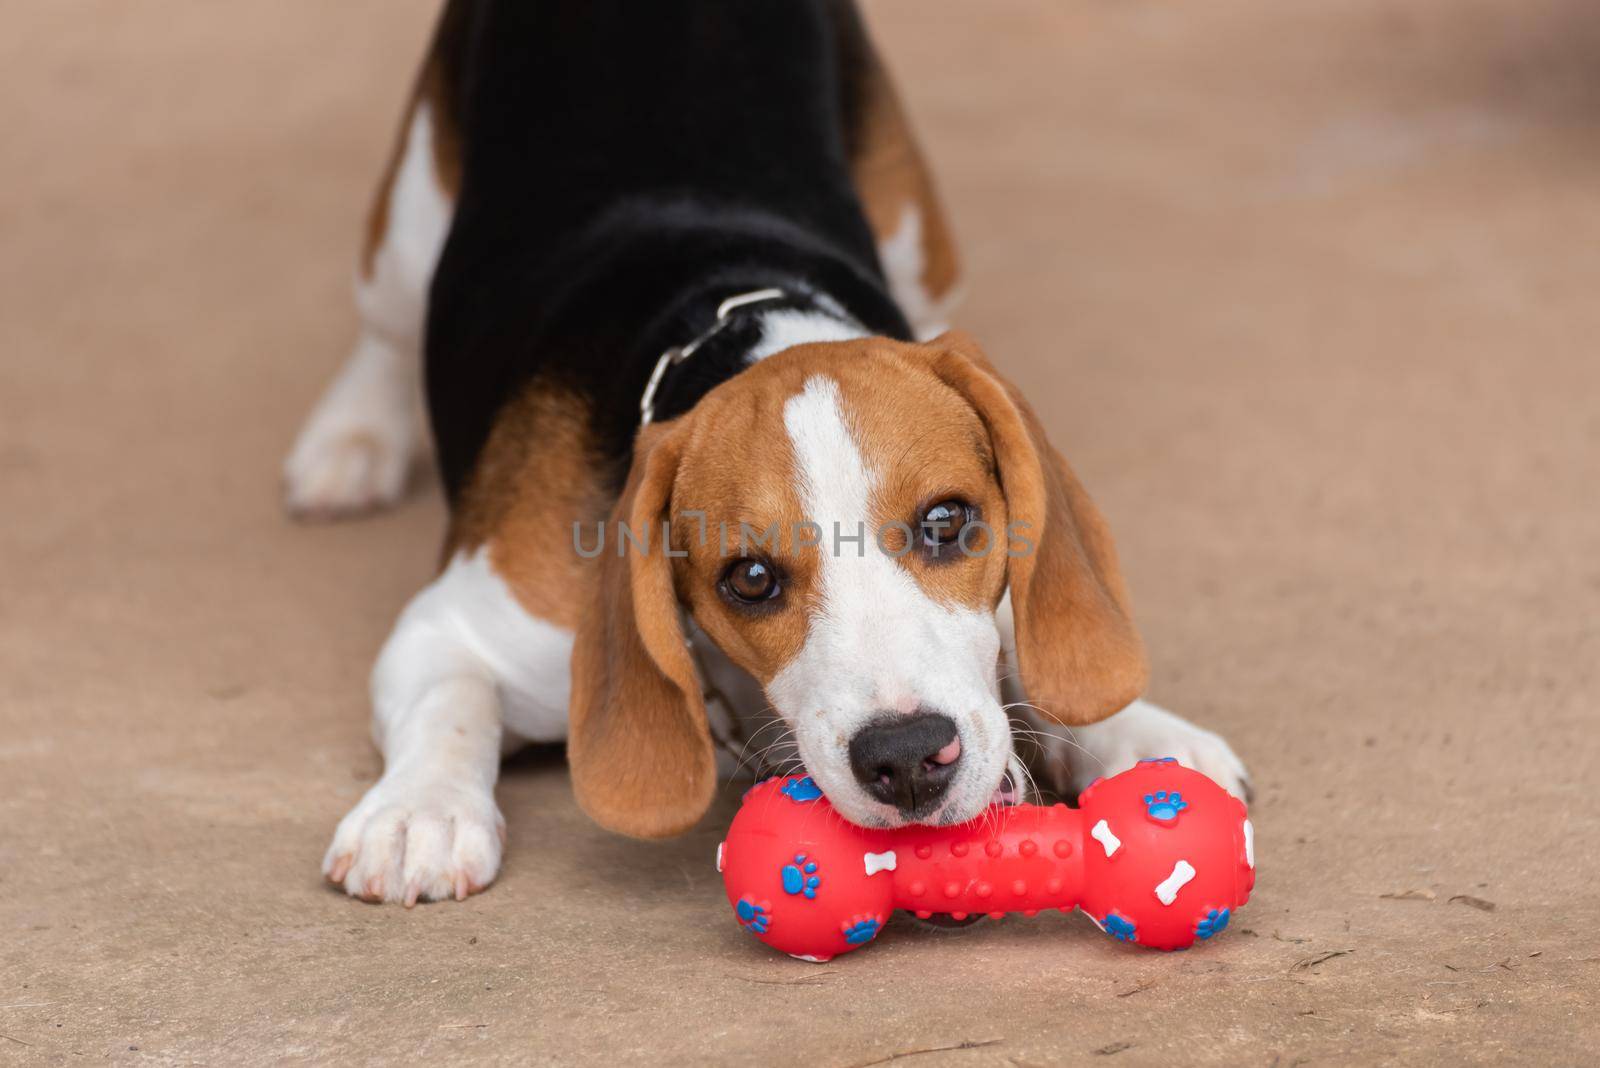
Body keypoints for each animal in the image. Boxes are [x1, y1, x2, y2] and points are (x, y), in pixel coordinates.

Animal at [288, 0, 1248, 908]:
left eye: (948, 521)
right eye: (749, 579)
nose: (907, 758)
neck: (739, 314)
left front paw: (1139, 732)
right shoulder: (452, 627)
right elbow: (449, 702)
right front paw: (418, 812)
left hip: (915, 233)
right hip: (408, 225)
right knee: (386, 334)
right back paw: (349, 440)